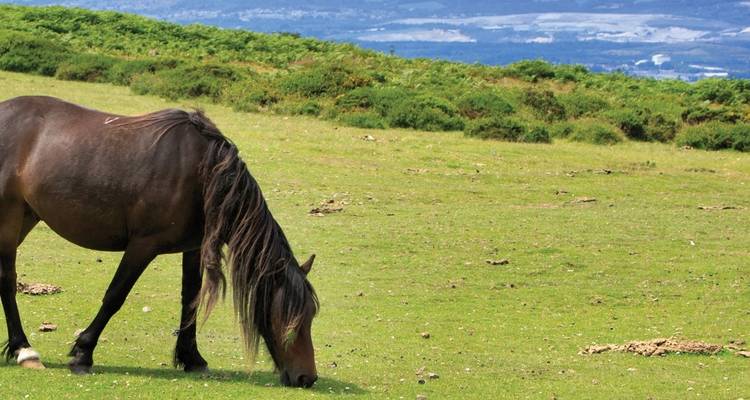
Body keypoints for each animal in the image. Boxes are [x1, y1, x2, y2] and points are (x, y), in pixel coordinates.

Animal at [0, 96, 319, 388]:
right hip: (9, 216)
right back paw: (25, 350)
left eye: (311, 316)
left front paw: (192, 358)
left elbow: (190, 300)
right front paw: (82, 353)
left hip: (27, 215)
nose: (307, 378)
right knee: (7, 279)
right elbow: (115, 296)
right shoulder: (144, 246)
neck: (204, 173)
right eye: (290, 319)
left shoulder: (193, 248)